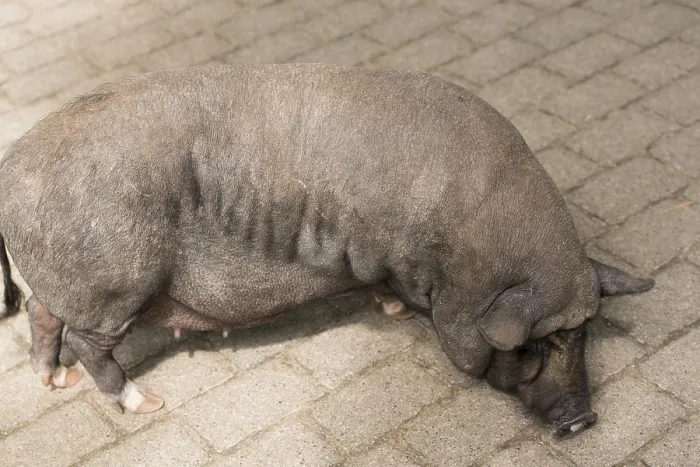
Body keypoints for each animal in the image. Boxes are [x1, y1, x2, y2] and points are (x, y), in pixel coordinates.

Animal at [0, 63, 654, 434]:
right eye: (537, 343)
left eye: (585, 333)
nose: (583, 420)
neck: (460, 256)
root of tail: (11, 167)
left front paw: (391, 309)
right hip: (114, 282)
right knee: (91, 343)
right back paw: (148, 404)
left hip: (73, 283)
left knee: (40, 312)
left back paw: (54, 383)